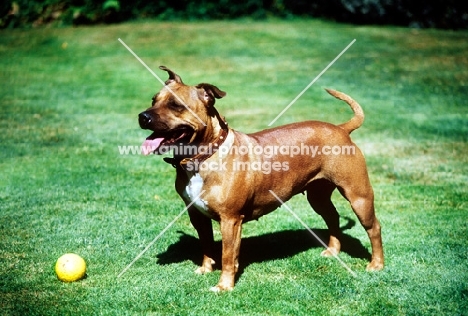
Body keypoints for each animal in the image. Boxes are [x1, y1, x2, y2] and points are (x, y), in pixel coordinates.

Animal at [139, 66, 384, 292]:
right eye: (153, 100)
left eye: (176, 105)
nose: (143, 116)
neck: (206, 154)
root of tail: (342, 129)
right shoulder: (197, 215)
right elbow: (206, 244)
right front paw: (205, 269)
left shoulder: (230, 220)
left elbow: (227, 255)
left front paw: (224, 286)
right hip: (318, 196)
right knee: (332, 218)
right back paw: (333, 251)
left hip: (358, 196)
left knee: (373, 227)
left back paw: (376, 264)